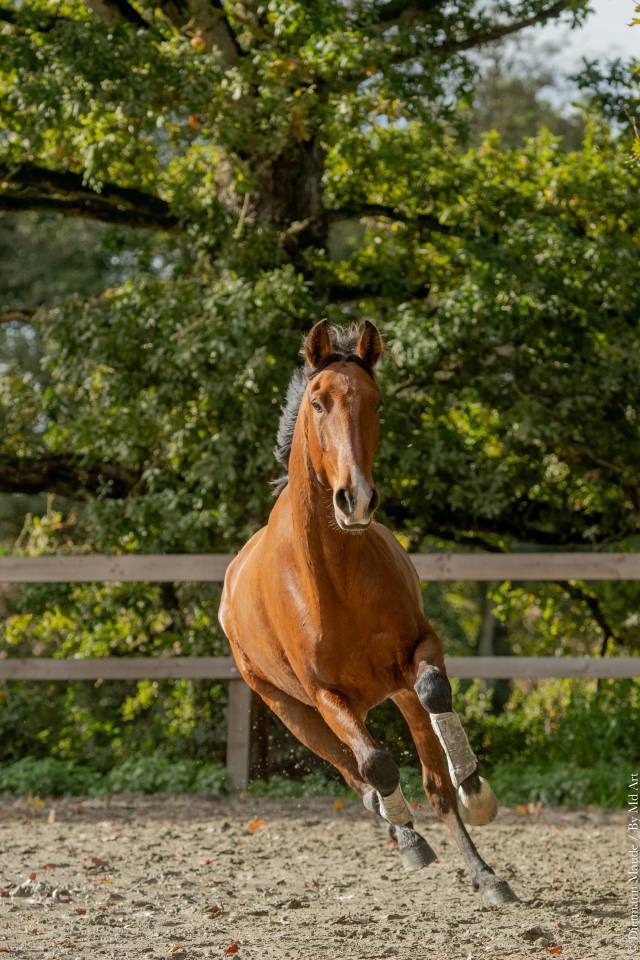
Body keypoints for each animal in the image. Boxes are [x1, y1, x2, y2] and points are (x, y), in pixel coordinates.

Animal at [219, 319, 516, 905]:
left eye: (376, 402)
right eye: (317, 402)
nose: (355, 499)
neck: (336, 578)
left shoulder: (420, 648)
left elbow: (437, 695)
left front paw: (477, 792)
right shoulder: (325, 696)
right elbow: (376, 763)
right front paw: (411, 838)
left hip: (394, 691)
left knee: (432, 781)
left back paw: (483, 872)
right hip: (294, 714)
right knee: (355, 775)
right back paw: (407, 838)